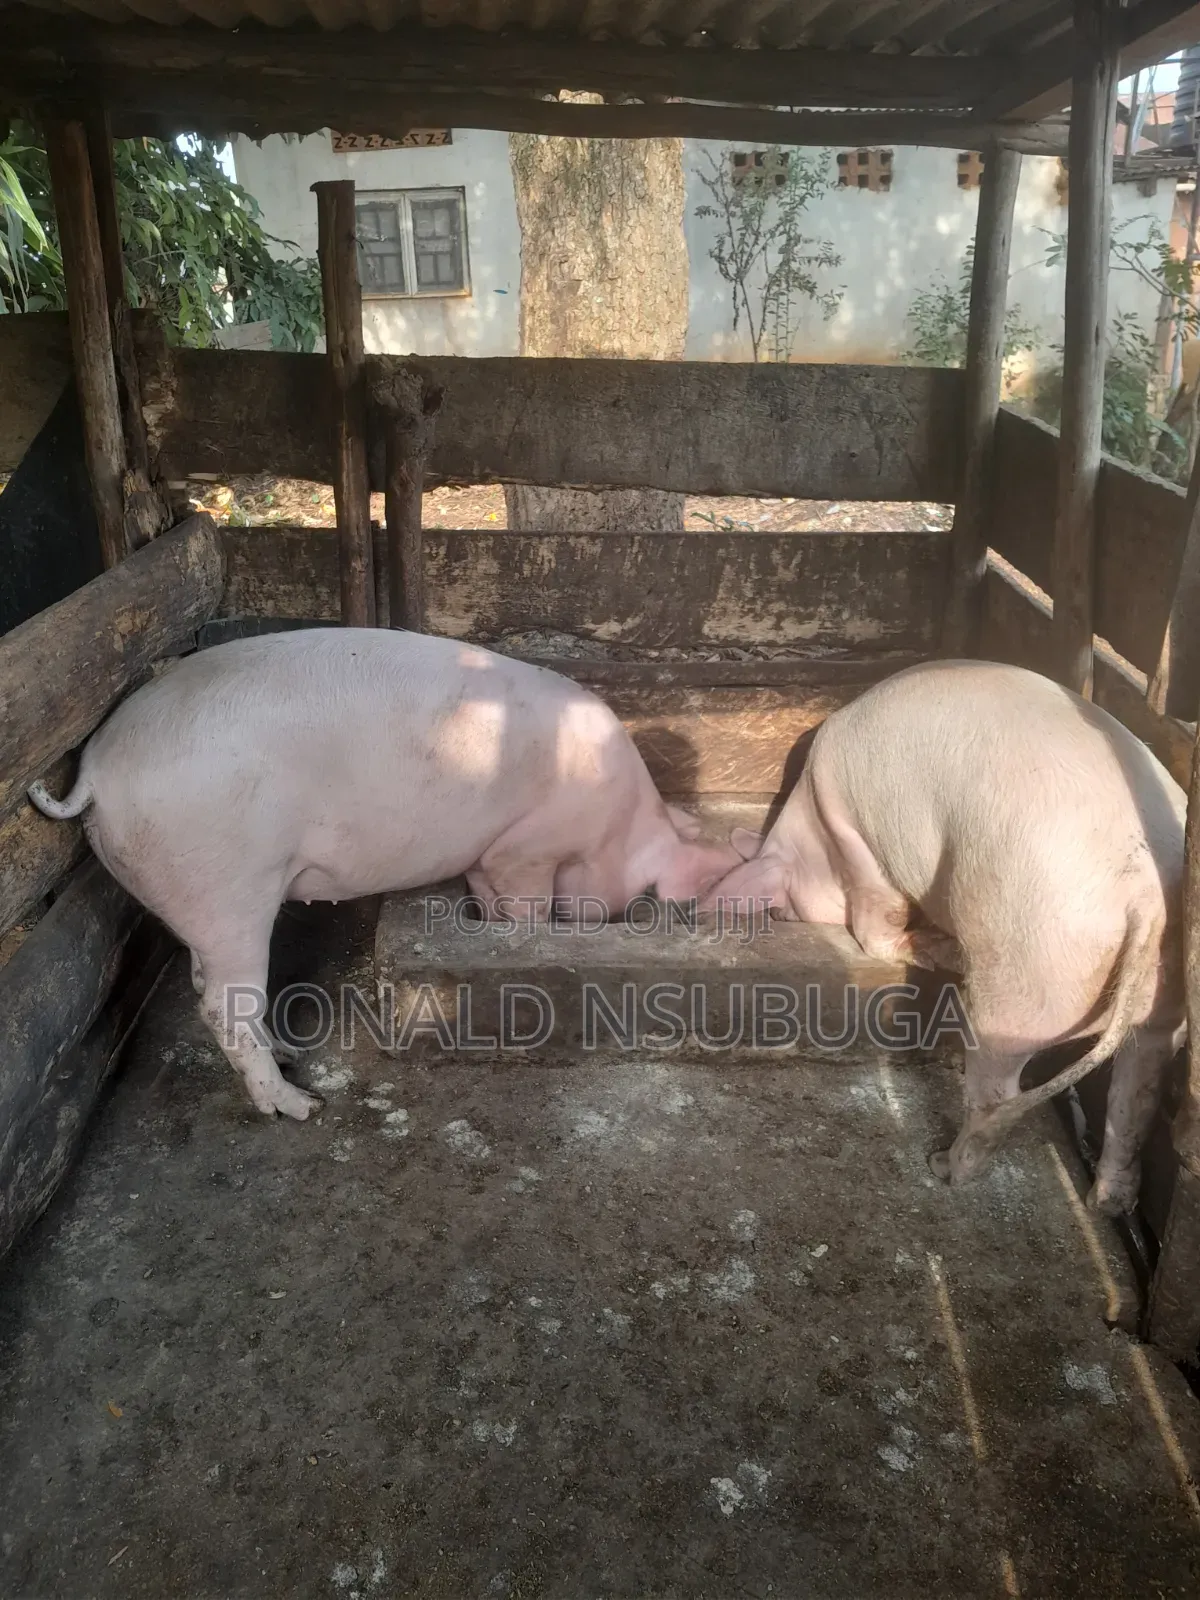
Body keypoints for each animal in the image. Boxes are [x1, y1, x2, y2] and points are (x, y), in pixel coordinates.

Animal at [29, 628, 738, 1121]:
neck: (618, 815)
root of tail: (96, 774)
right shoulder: (528, 846)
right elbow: (526, 902)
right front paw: (526, 934)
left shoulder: (488, 856)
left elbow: (488, 891)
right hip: (229, 886)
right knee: (219, 1005)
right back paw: (298, 1106)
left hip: (200, 899)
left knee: (211, 985)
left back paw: (287, 1055)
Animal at [703, 659, 1186, 1215]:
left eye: (782, 904)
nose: (779, 915)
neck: (812, 829)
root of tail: (1144, 893)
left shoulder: (858, 844)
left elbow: (875, 925)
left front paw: (925, 947)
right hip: (1162, 1003)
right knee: (1138, 1094)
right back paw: (1105, 1204)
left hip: (1024, 975)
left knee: (997, 1095)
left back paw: (943, 1167)